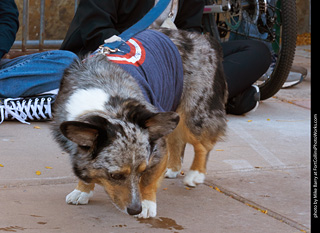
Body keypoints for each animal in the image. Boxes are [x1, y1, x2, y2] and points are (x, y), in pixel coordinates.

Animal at [52, 28, 228, 218]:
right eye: (115, 176)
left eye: (142, 171)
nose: (134, 210)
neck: (106, 108)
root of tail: (203, 38)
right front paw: (82, 190)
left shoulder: (156, 148)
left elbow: (149, 181)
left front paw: (146, 205)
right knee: (177, 139)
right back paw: (173, 168)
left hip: (193, 113)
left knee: (202, 144)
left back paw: (196, 174)